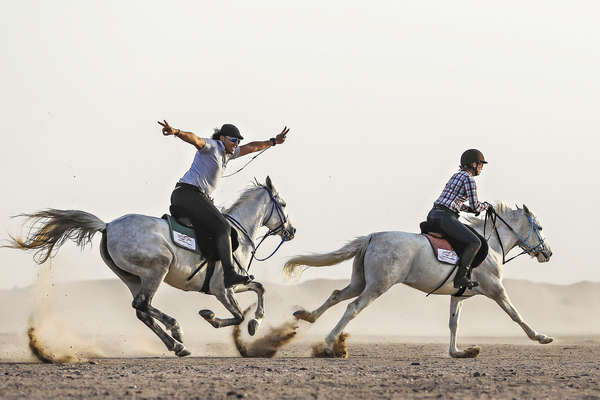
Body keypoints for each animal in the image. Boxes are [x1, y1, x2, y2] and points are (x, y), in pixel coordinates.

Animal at [6, 177, 292, 356]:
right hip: (157, 269)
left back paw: (176, 340)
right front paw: (213, 317)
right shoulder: (223, 288)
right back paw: (176, 335)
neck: (237, 234)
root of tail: (107, 226)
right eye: (283, 204)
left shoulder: (231, 286)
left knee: (141, 310)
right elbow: (239, 314)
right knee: (142, 305)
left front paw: (256, 321)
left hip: (133, 278)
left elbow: (259, 288)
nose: (292, 231)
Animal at [286, 205, 552, 358]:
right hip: (377, 286)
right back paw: (329, 345)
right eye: (538, 227)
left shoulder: (458, 295)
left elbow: (453, 324)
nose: (547, 253)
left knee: (336, 295)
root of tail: (372, 237)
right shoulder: (496, 289)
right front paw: (541, 337)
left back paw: (307, 316)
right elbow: (516, 315)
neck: (493, 245)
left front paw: (458, 352)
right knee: (352, 307)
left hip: (360, 282)